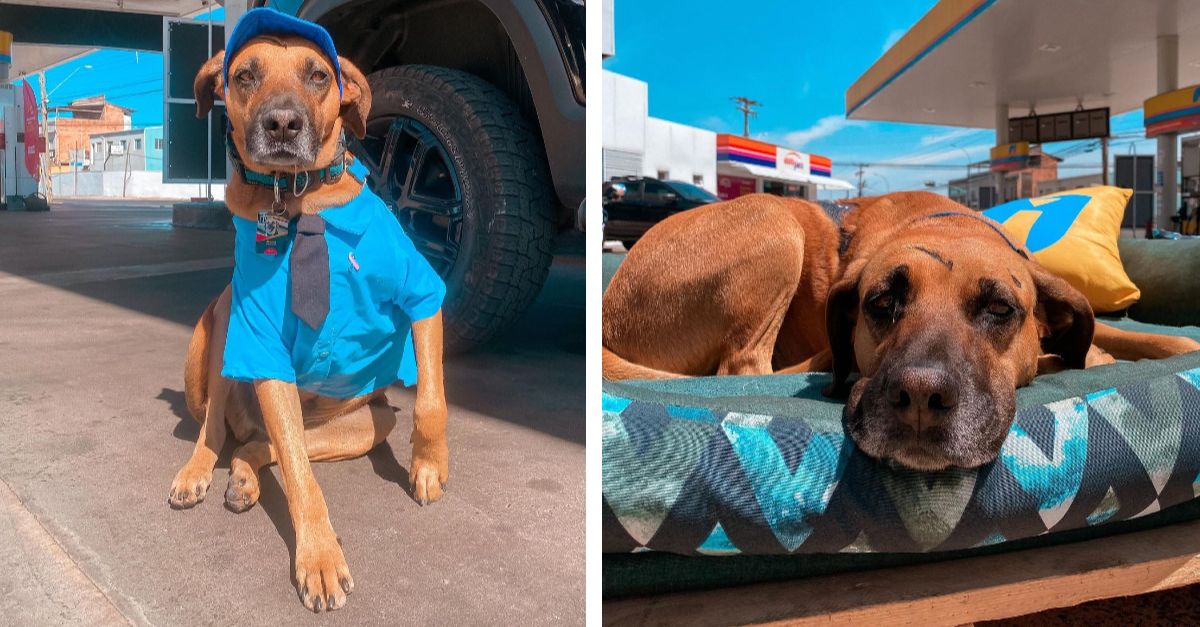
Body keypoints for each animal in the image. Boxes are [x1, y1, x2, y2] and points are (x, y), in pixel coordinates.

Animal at [168, 9, 451, 612]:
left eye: (318, 75)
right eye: (245, 75)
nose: (281, 124)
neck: (299, 201)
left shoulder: (423, 293)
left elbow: (432, 400)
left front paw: (429, 465)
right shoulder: (262, 343)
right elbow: (300, 476)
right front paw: (319, 558)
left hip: (368, 424)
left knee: (263, 444)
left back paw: (244, 477)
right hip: (221, 322)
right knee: (222, 429)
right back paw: (201, 469)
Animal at [604, 189, 1200, 468]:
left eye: (1000, 308)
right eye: (883, 302)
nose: (919, 398)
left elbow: (1124, 332)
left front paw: (1168, 343)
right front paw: (1082, 357)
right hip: (771, 219)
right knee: (744, 365)